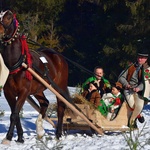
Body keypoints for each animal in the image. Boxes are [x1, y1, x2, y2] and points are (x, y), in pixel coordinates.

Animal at [0, 9, 69, 144]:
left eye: (9, 17)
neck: (18, 64)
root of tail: (59, 57)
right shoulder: (8, 92)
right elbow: (15, 114)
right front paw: (20, 137)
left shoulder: (24, 92)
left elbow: (14, 114)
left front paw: (8, 137)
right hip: (38, 89)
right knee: (45, 103)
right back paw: (40, 130)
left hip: (60, 87)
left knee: (60, 108)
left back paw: (58, 134)